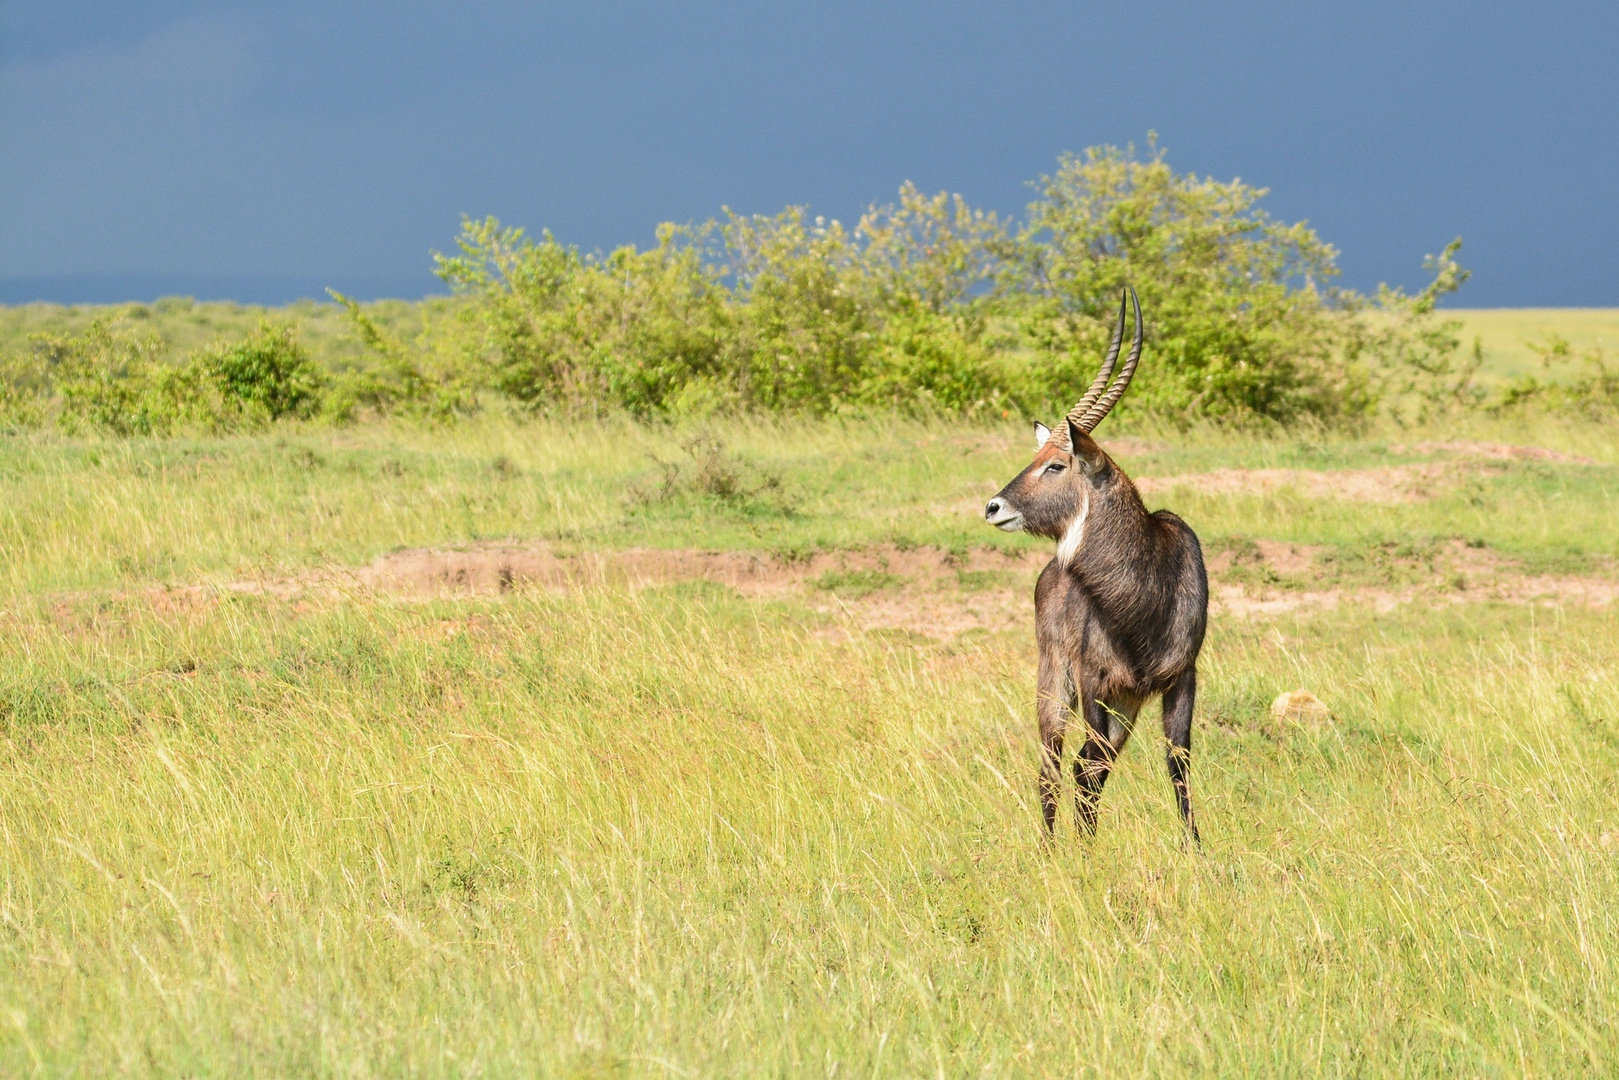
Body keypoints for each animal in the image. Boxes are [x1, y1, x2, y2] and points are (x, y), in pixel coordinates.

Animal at [984, 286, 1204, 841]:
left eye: (1055, 464)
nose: (993, 507)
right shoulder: (1093, 682)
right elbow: (1082, 765)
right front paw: (1083, 851)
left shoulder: (1181, 678)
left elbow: (1178, 763)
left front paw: (1195, 848)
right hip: (1057, 683)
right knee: (1056, 763)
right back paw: (1049, 847)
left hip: (1127, 701)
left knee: (1092, 764)